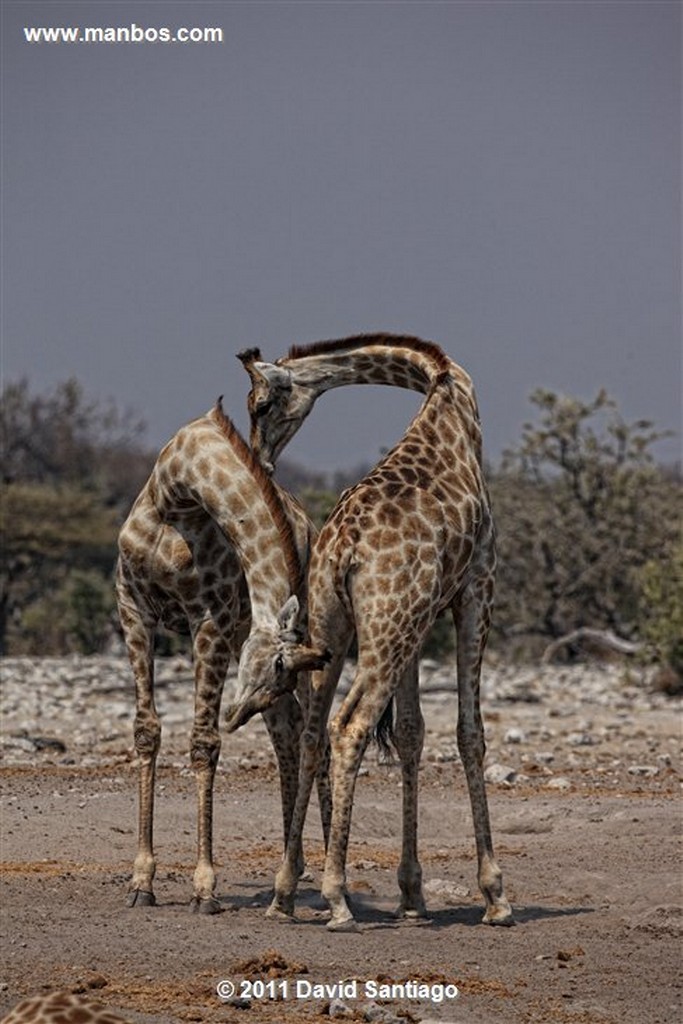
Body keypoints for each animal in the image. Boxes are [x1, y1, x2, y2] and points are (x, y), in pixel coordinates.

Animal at [115, 397, 327, 913]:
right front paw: (141, 881)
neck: (177, 493)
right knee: (288, 732)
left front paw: (204, 887)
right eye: (274, 667)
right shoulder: (132, 606)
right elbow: (146, 731)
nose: (237, 714)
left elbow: (203, 742)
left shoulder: (209, 618)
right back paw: (292, 868)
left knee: (318, 736)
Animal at [229, 333, 511, 929]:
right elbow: (468, 732)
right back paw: (336, 895)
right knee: (351, 725)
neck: (447, 389)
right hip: (385, 629)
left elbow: (409, 731)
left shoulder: (418, 619)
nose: (261, 460)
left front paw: (412, 895)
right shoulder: (477, 585)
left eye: (261, 404)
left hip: (338, 628)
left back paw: (284, 893)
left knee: (314, 731)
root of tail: (343, 552)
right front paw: (494, 893)